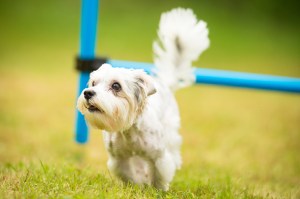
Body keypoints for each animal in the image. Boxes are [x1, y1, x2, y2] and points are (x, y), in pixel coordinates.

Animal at [77, 8, 209, 191]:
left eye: (116, 86)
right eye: (94, 83)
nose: (88, 93)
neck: (128, 130)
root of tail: (165, 81)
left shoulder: (159, 157)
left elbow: (159, 176)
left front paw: (158, 190)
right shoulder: (120, 159)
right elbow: (129, 175)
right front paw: (136, 185)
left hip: (170, 131)